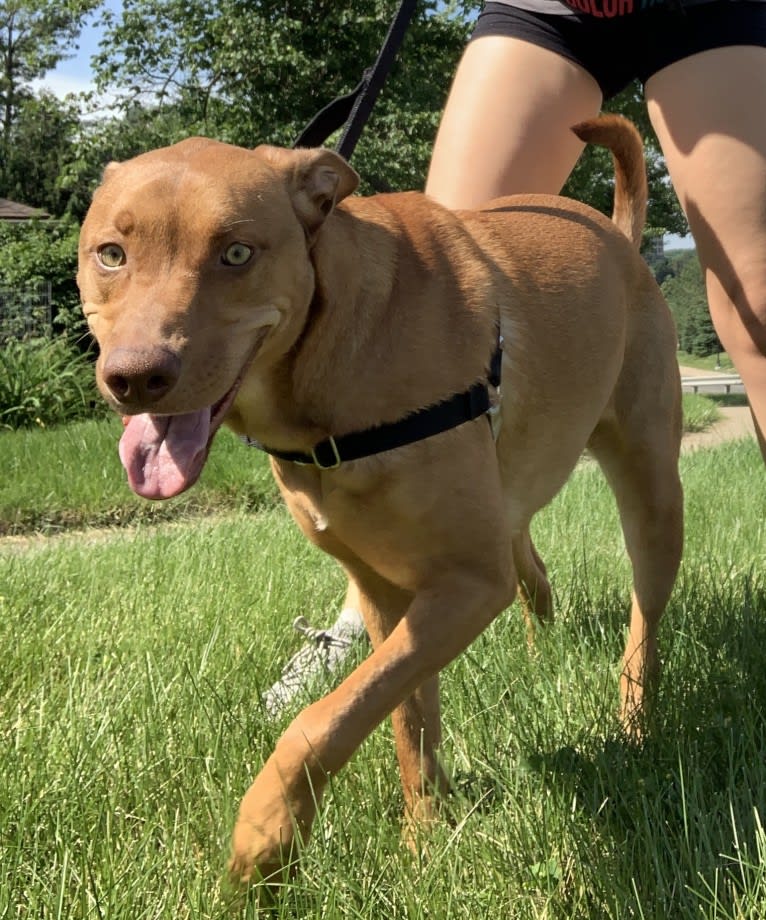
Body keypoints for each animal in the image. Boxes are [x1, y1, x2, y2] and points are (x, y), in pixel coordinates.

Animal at [79, 113, 684, 884]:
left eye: (237, 252)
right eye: (111, 254)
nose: (135, 377)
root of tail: (619, 237)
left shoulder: (467, 582)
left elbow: (323, 720)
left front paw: (264, 838)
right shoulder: (386, 589)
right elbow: (401, 714)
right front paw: (425, 835)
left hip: (653, 492)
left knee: (644, 620)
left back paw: (634, 719)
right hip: (511, 503)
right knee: (534, 569)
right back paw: (542, 653)